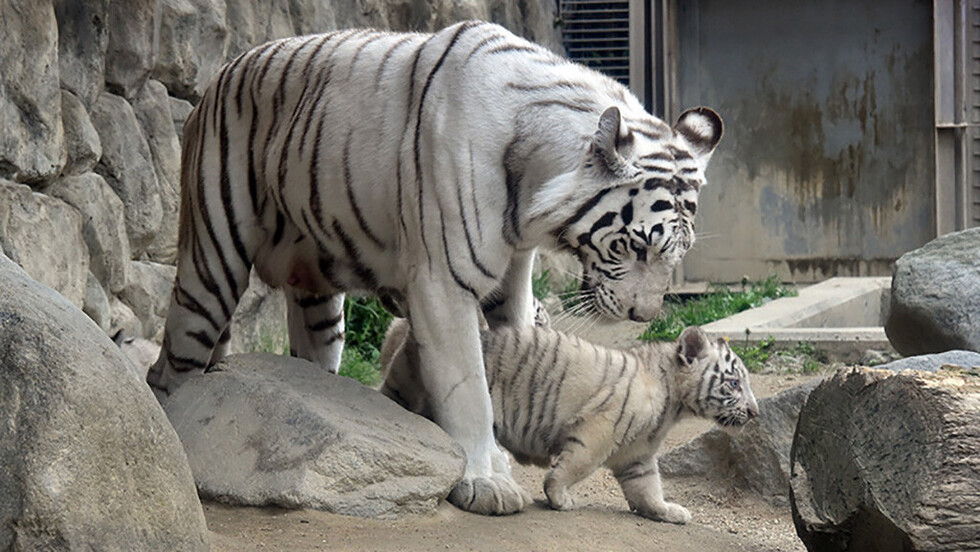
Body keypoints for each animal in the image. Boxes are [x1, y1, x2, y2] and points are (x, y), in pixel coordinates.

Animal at [146, 20, 723, 515]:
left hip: (318, 295)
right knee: (174, 363)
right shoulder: (443, 282)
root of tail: (221, 73)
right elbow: (469, 388)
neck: (533, 184)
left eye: (677, 253)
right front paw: (485, 482)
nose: (644, 315)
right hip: (212, 256)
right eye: (638, 246)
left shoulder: (513, 278)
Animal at [380, 320, 759, 523]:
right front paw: (559, 497)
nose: (755, 412)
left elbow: (648, 488)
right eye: (735, 384)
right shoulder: (599, 430)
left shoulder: (637, 456)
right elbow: (575, 466)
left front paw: (668, 511)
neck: (673, 403)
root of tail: (408, 334)